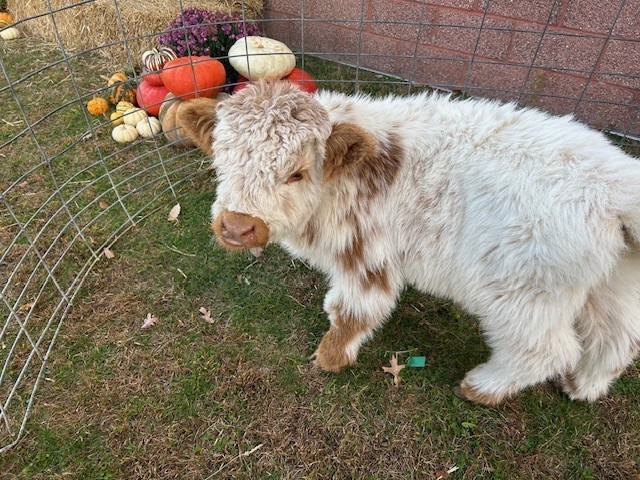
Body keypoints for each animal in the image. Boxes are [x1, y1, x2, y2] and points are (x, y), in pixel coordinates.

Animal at [181, 80, 640, 406]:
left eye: (296, 172)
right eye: (222, 157)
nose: (237, 227)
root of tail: (614, 183)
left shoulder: (367, 258)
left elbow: (351, 312)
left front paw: (330, 358)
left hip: (523, 294)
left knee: (545, 349)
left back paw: (482, 387)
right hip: (611, 283)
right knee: (617, 337)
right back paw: (583, 385)